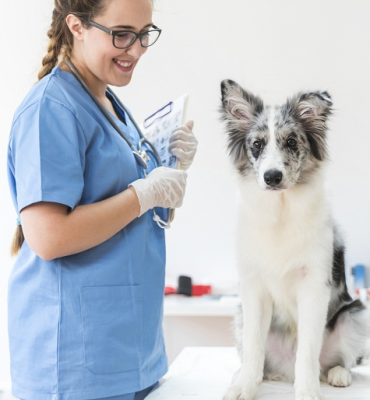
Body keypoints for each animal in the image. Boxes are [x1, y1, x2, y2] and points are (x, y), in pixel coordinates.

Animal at [220, 80, 370, 400]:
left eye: (291, 142)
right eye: (257, 145)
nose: (272, 177)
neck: (282, 210)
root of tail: (284, 371)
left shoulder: (314, 285)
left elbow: (308, 349)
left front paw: (308, 391)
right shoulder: (253, 289)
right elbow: (253, 346)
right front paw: (244, 387)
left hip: (355, 314)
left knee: (340, 360)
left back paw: (338, 374)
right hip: (239, 315)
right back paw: (246, 376)